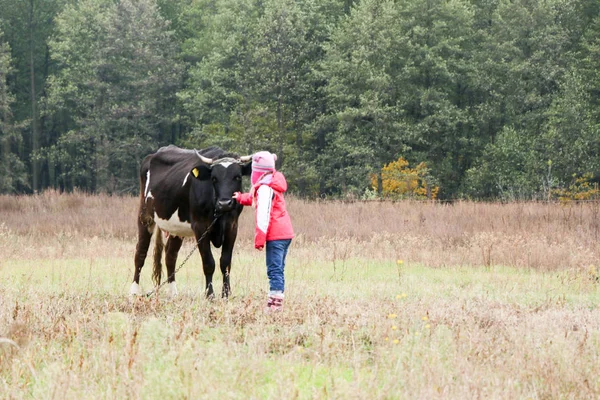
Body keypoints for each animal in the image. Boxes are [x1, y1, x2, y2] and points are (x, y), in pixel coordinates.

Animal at [130, 145, 252, 298]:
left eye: (237, 177)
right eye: (214, 178)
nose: (225, 203)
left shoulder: (232, 226)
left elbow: (225, 263)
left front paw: (226, 295)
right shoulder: (200, 227)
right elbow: (209, 263)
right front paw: (210, 295)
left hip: (176, 228)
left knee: (170, 255)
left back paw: (173, 293)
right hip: (145, 216)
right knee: (140, 253)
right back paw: (134, 292)